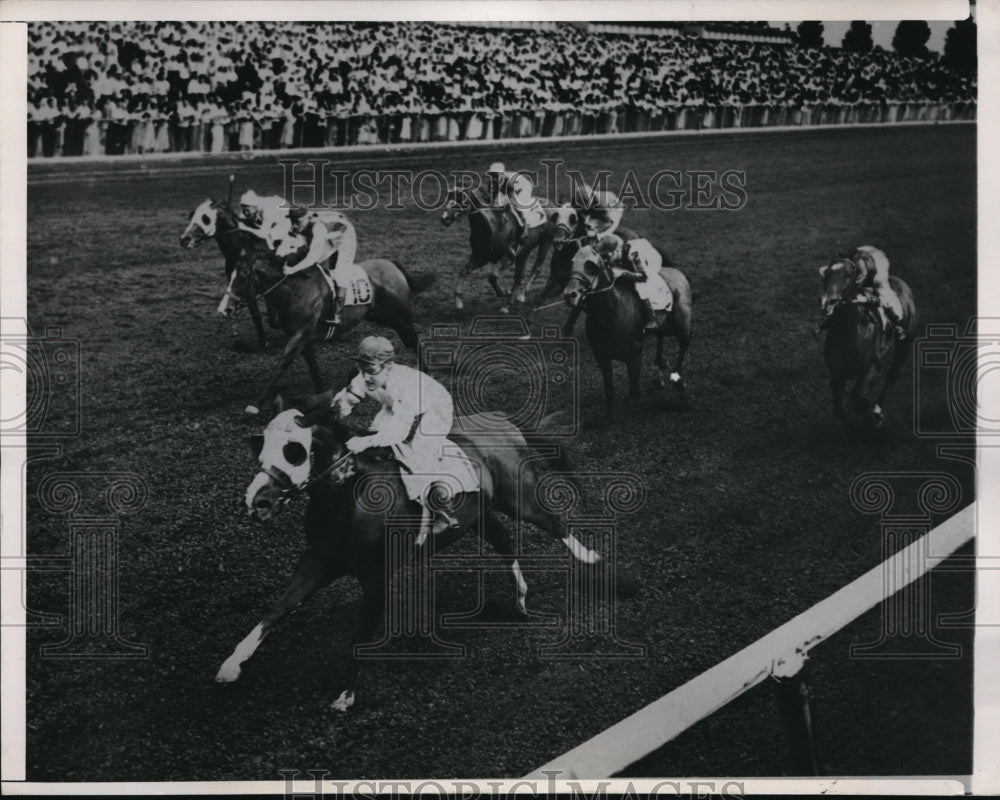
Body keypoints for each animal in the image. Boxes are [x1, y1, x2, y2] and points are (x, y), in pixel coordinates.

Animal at [219, 404, 604, 708]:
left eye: (294, 451)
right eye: (261, 453)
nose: (257, 502)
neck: (348, 498)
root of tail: (499, 419)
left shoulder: (375, 577)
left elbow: (361, 633)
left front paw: (346, 694)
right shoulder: (318, 561)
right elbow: (278, 609)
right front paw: (232, 664)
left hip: (517, 497)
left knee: (554, 523)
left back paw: (591, 560)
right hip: (481, 514)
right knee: (506, 543)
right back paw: (521, 597)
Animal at [221, 247, 428, 416]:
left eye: (245, 275)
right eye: (230, 275)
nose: (226, 309)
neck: (296, 291)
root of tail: (392, 264)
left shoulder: (299, 337)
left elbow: (281, 365)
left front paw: (254, 405)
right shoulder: (302, 339)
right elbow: (313, 366)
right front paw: (322, 397)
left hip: (400, 320)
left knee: (415, 342)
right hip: (379, 316)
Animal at [568, 244, 692, 422]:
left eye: (591, 266)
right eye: (571, 263)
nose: (570, 294)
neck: (610, 312)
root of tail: (676, 271)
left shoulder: (634, 356)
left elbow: (634, 392)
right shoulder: (602, 356)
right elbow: (609, 389)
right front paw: (609, 417)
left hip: (682, 321)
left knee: (684, 344)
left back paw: (677, 379)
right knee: (661, 336)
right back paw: (660, 367)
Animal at [820, 260, 916, 428]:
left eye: (848, 275)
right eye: (827, 275)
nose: (828, 302)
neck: (849, 331)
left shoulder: (872, 368)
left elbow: (861, 400)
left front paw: (874, 417)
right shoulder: (837, 373)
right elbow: (840, 410)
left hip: (905, 346)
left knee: (891, 378)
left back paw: (878, 409)